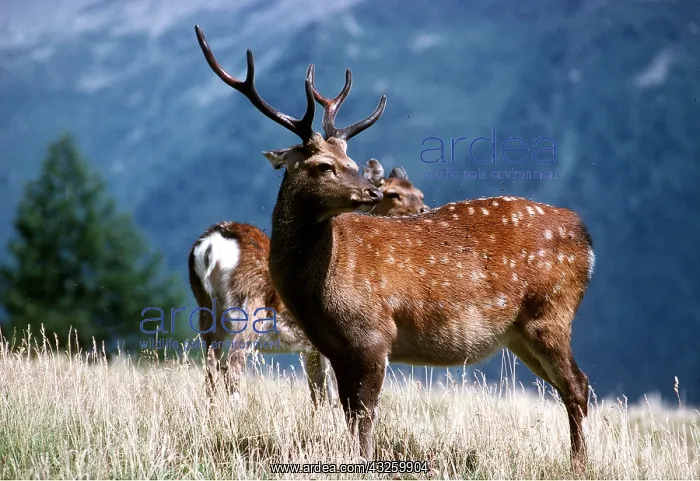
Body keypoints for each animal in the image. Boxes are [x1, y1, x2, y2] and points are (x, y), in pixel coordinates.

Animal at [188, 159, 428, 406]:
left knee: (210, 365)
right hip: (249, 308)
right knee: (232, 363)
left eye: (419, 193)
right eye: (393, 193)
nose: (424, 209)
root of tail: (211, 247)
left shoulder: (310, 348)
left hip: (207, 311)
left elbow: (319, 393)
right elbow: (331, 393)